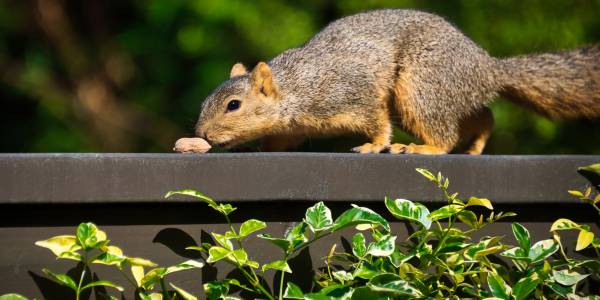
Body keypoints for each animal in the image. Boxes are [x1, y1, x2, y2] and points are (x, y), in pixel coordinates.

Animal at [195, 9, 596, 155]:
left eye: (234, 105)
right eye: (204, 104)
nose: (202, 134)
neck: (295, 89)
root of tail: (486, 67)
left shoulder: (352, 94)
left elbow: (376, 121)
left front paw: (374, 146)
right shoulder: (292, 128)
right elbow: (281, 141)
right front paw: (257, 147)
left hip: (419, 89)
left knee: (445, 134)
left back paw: (425, 149)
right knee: (484, 116)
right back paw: (476, 145)